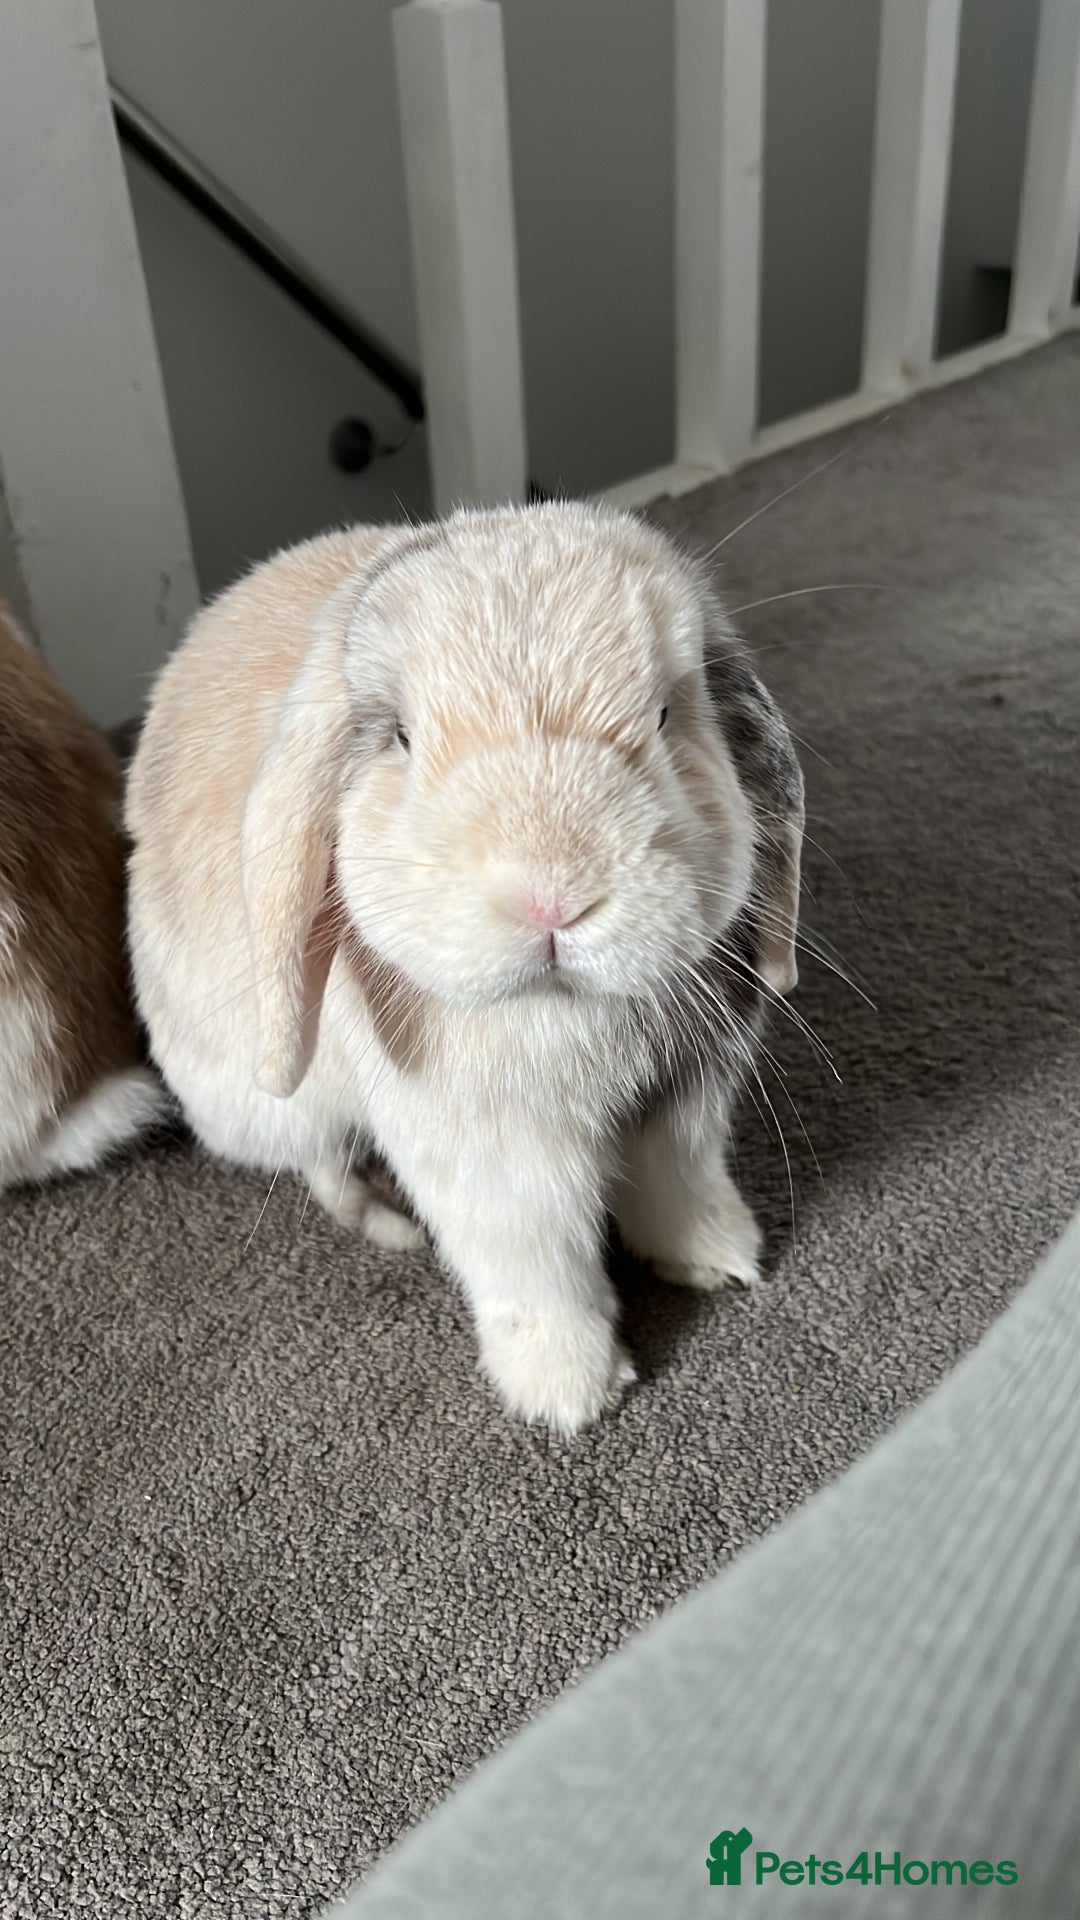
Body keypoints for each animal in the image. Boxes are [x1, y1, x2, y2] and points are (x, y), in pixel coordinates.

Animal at [125, 502, 804, 1433]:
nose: (552, 897)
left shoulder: (685, 1106)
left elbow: (678, 1188)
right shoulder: (493, 1165)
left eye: (670, 714)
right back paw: (387, 1221)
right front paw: (571, 1396)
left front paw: (720, 1260)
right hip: (266, 1095)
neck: (560, 1010)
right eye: (403, 738)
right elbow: (537, 1273)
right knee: (319, 1163)